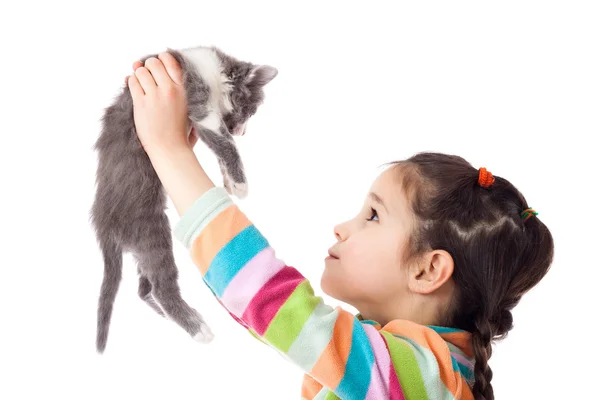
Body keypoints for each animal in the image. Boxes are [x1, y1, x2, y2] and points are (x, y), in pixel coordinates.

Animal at [90, 44, 278, 354]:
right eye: (251, 111)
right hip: (151, 230)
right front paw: (240, 183)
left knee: (145, 289)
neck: (211, 69)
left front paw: (229, 181)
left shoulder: (199, 121)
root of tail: (103, 225)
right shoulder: (201, 106)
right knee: (161, 286)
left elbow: (218, 146)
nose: (242, 131)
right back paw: (197, 328)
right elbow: (224, 143)